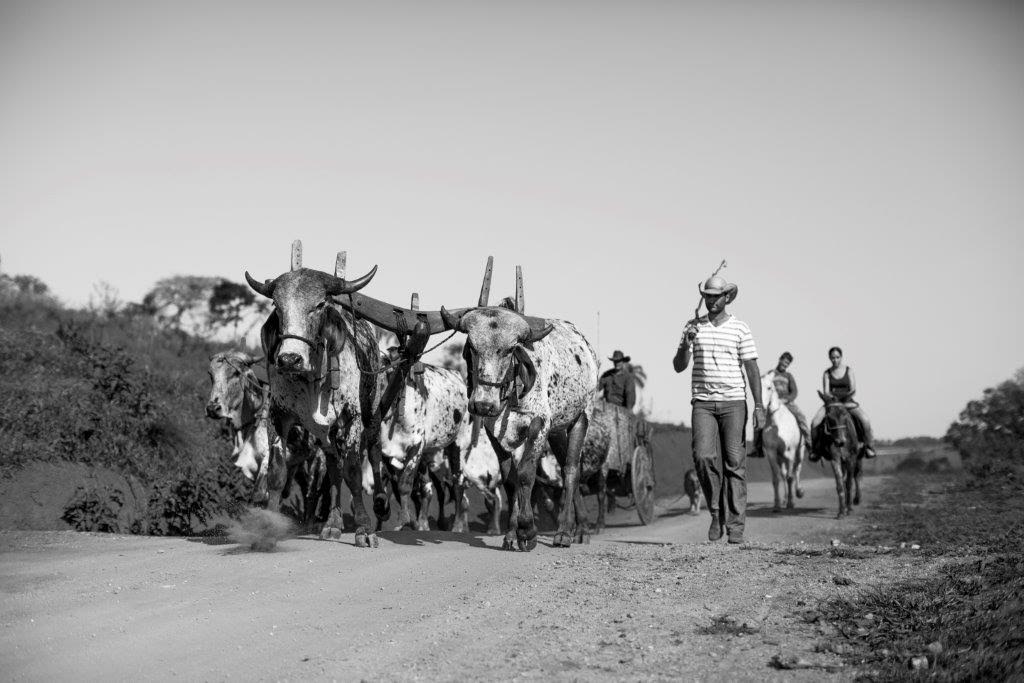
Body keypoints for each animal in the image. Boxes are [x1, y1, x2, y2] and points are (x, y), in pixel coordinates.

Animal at [757, 374, 802, 511]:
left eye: (769, 387)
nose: (763, 406)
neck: (776, 424)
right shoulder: (771, 452)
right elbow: (776, 478)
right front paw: (777, 505)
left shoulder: (790, 452)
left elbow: (790, 477)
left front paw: (791, 503)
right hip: (780, 457)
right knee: (783, 474)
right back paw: (784, 500)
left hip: (799, 451)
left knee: (797, 469)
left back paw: (798, 492)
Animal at [815, 389, 864, 518]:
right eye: (828, 416)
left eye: (845, 414)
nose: (840, 441)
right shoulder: (835, 459)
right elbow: (840, 484)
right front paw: (841, 511)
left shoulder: (851, 458)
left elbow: (849, 483)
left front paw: (849, 509)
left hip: (858, 459)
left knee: (856, 476)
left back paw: (856, 500)